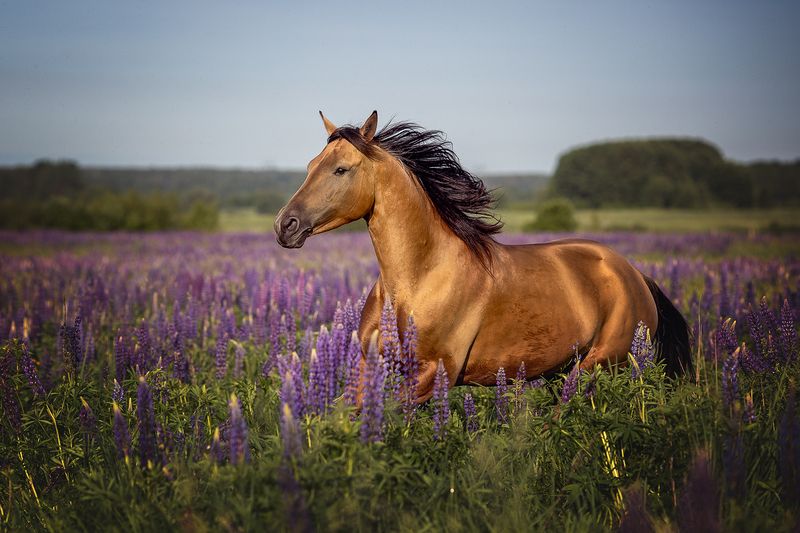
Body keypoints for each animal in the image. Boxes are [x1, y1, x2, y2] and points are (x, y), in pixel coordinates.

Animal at [274, 110, 692, 402]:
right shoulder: (369, 364)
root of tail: (635, 275)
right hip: (562, 369)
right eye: (311, 166)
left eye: (341, 169)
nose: (285, 225)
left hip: (597, 367)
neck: (418, 278)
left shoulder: (432, 374)